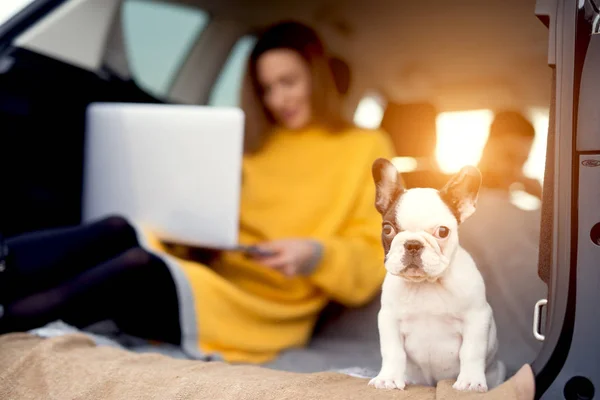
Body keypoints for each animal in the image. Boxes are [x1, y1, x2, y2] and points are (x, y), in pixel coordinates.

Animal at [368, 158, 504, 392]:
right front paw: (388, 379)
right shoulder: (389, 319)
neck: (426, 284)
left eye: (442, 231)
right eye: (387, 229)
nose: (412, 244)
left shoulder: (476, 317)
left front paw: (470, 381)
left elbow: (471, 352)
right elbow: (393, 352)